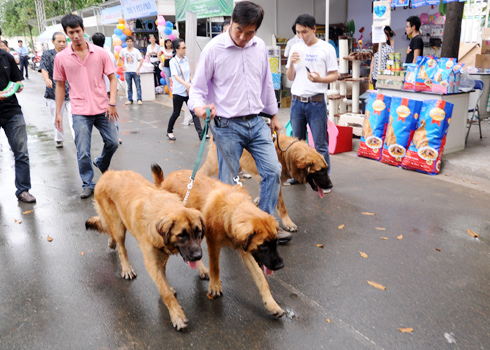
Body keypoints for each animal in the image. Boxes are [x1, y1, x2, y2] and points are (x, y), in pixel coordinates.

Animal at [86, 167, 205, 330]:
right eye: (182, 235)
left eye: (198, 232)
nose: (198, 256)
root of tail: (108, 173)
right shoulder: (151, 262)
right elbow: (165, 292)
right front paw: (177, 315)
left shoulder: (161, 255)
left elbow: (163, 277)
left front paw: (167, 286)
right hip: (119, 225)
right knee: (121, 247)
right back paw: (126, 268)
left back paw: (111, 242)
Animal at [151, 168, 286, 318]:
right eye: (263, 246)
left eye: (276, 242)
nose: (280, 266)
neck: (232, 209)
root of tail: (169, 177)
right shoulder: (213, 243)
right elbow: (215, 266)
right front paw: (215, 286)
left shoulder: (245, 250)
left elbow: (261, 279)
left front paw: (272, 304)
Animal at [196, 135, 334, 232]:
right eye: (320, 171)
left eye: (326, 169)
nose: (330, 186)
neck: (286, 154)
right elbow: (282, 206)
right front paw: (288, 223)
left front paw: (258, 202)